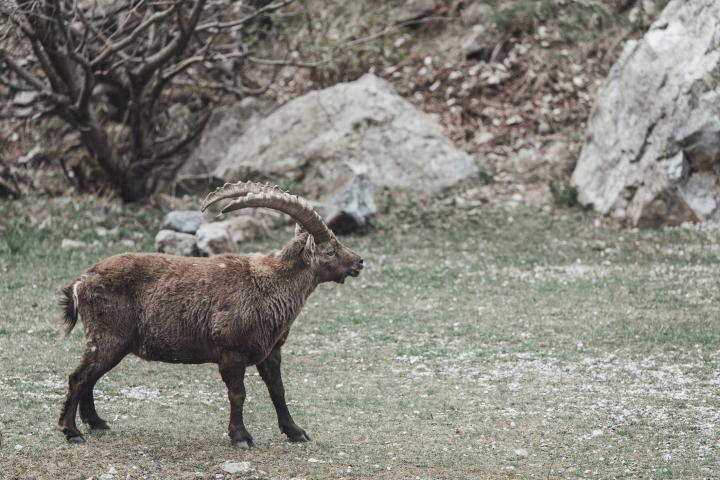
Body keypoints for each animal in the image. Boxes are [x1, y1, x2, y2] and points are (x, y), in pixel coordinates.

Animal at [58, 181, 364, 447]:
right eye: (330, 251)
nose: (359, 261)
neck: (271, 285)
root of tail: (81, 282)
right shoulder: (231, 352)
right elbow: (238, 394)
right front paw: (241, 437)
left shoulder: (271, 350)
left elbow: (278, 390)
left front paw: (295, 431)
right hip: (108, 338)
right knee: (79, 377)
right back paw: (72, 431)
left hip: (110, 343)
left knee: (90, 377)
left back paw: (96, 422)